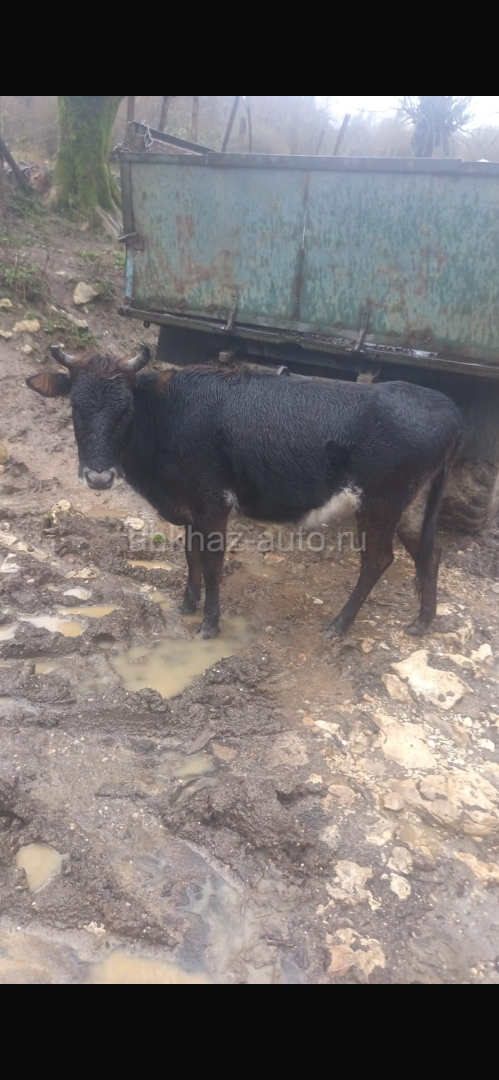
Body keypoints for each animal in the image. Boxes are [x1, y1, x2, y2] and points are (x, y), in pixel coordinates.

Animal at [27, 345, 462, 640]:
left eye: (126, 409)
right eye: (76, 407)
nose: (99, 477)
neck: (168, 415)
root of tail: (445, 406)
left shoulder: (212, 503)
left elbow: (212, 562)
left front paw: (209, 624)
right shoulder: (191, 506)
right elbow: (191, 555)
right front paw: (187, 604)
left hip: (379, 503)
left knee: (377, 560)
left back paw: (338, 626)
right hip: (412, 502)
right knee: (429, 551)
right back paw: (422, 622)